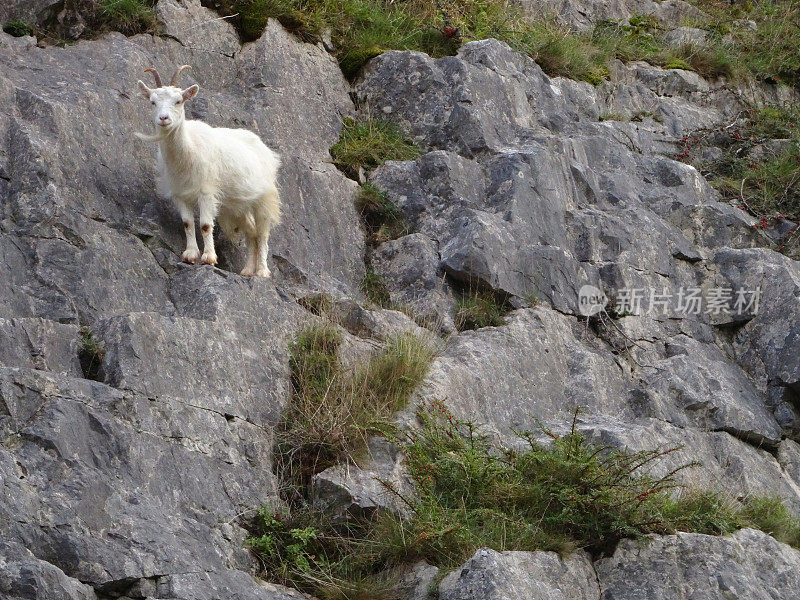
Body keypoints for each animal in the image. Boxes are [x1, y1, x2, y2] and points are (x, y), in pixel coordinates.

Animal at [133, 64, 280, 280]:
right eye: (153, 102)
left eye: (179, 101)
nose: (163, 118)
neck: (189, 149)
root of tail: (266, 150)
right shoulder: (180, 194)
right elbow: (187, 223)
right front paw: (190, 255)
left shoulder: (207, 192)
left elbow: (204, 225)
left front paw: (209, 258)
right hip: (238, 205)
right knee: (250, 232)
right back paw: (246, 270)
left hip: (264, 197)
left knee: (262, 233)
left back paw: (261, 271)